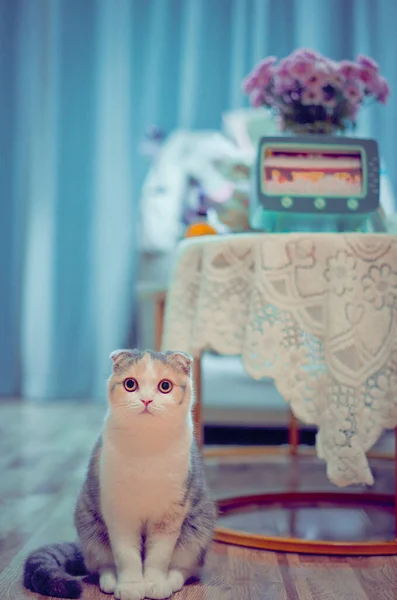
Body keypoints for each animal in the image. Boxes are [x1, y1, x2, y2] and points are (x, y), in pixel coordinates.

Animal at [24, 350, 217, 596]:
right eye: (130, 384)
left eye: (165, 386)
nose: (146, 400)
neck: (146, 447)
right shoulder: (120, 513)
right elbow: (127, 556)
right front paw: (131, 586)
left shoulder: (169, 514)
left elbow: (159, 557)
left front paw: (154, 583)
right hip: (91, 530)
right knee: (102, 565)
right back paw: (110, 581)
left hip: (197, 530)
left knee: (184, 568)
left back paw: (171, 581)